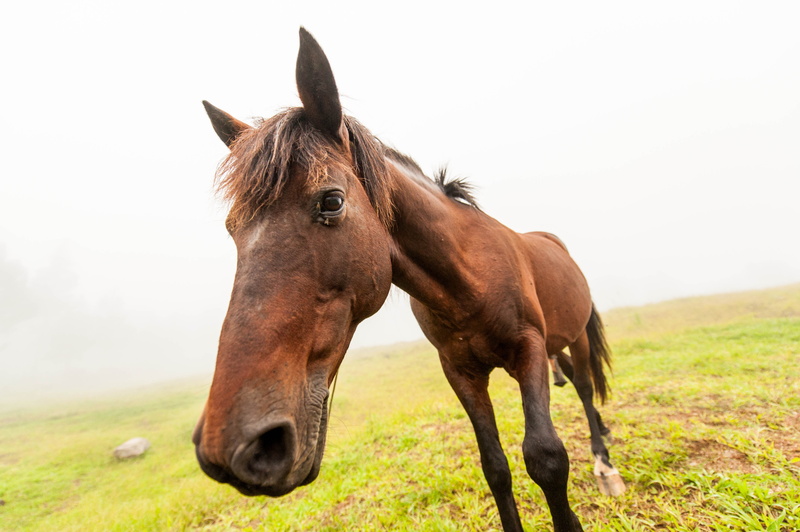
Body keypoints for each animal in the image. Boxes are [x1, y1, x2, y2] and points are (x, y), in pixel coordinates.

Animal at [192, 28, 624, 532]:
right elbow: (495, 466)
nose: (235, 446)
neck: (467, 280)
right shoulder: (460, 372)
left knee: (585, 386)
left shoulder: (530, 349)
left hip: (574, 338)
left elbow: (546, 458)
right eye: (232, 229)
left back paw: (605, 463)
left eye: (331, 201)